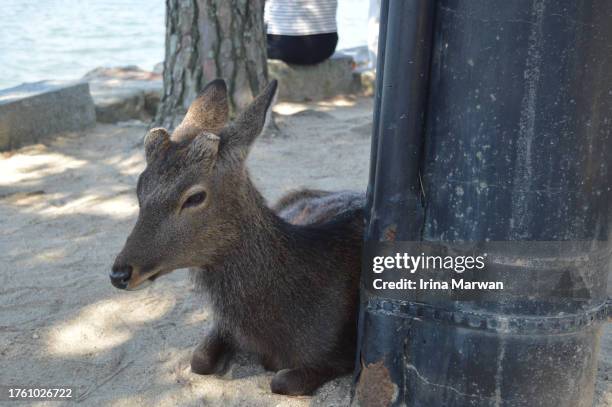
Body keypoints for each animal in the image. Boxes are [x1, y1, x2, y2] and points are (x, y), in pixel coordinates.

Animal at [110, 78, 364, 396]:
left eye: (194, 197)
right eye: (140, 189)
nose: (119, 273)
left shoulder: (343, 352)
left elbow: (281, 380)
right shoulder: (224, 326)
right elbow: (199, 359)